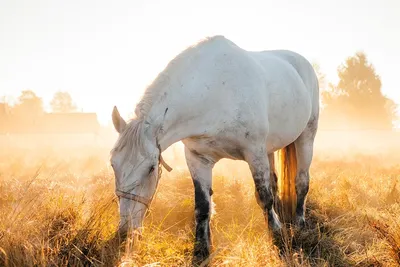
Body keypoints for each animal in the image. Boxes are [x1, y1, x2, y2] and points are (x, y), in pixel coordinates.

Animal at [108, 35, 318, 266]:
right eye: (113, 164)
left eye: (151, 168)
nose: (125, 232)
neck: (214, 92)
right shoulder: (198, 158)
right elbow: (203, 206)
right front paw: (201, 250)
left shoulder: (254, 153)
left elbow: (264, 197)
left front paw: (277, 237)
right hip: (270, 149)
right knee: (275, 182)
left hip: (306, 137)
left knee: (301, 181)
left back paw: (299, 223)